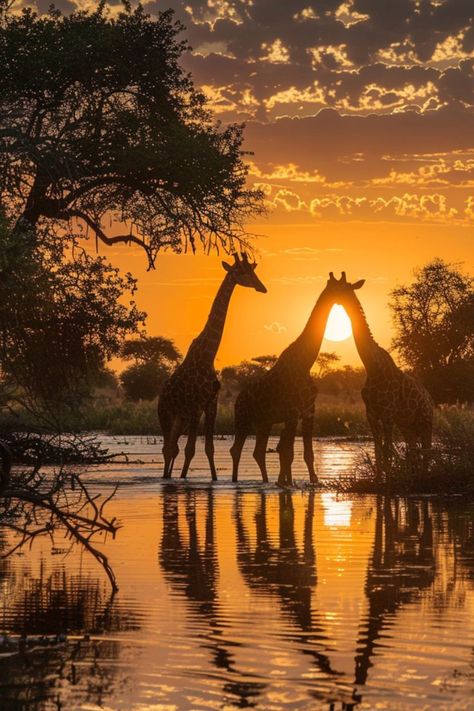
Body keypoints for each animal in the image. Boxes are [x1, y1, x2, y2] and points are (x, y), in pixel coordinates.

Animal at [158, 253, 266, 482]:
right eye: (243, 272)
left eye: (253, 271)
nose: (262, 287)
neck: (208, 355)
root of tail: (161, 395)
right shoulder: (195, 406)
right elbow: (190, 449)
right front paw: (183, 478)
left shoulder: (210, 405)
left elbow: (209, 448)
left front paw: (215, 479)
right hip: (165, 414)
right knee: (167, 448)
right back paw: (166, 477)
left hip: (180, 418)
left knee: (172, 447)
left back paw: (168, 476)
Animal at [231, 276, 336, 486]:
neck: (305, 362)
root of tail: (238, 400)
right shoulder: (293, 413)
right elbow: (288, 451)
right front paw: (287, 482)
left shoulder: (307, 411)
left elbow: (297, 451)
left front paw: (303, 481)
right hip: (243, 419)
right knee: (236, 450)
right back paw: (236, 481)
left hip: (264, 423)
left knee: (258, 452)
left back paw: (265, 481)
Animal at [330, 276, 434, 476]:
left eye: (344, 288)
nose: (333, 297)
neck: (372, 367)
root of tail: (430, 398)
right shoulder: (372, 414)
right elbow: (378, 450)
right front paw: (379, 478)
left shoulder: (388, 414)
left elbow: (387, 450)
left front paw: (389, 478)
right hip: (407, 425)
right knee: (413, 451)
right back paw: (414, 474)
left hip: (425, 422)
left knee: (426, 451)